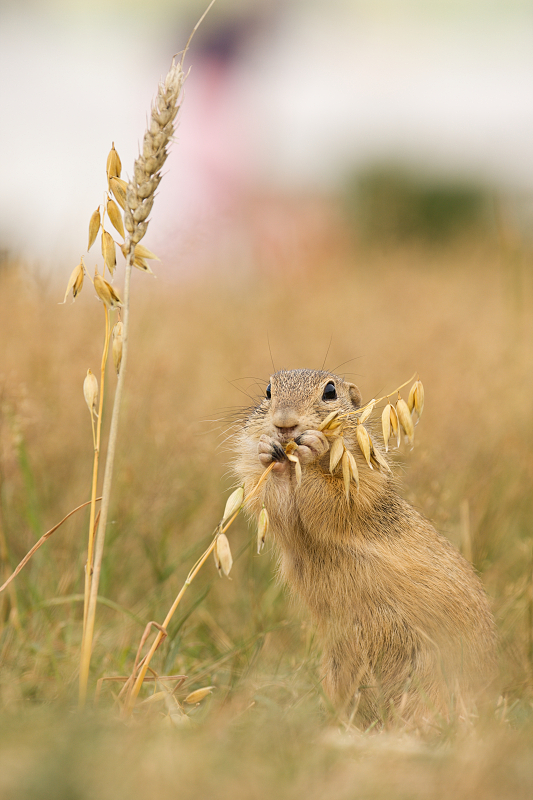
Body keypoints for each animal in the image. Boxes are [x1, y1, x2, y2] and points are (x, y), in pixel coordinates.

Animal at [235, 372, 496, 728]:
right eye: (268, 391)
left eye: (330, 391)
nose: (284, 424)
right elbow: (273, 504)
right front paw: (267, 451)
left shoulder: (362, 475)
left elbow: (337, 495)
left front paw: (313, 447)